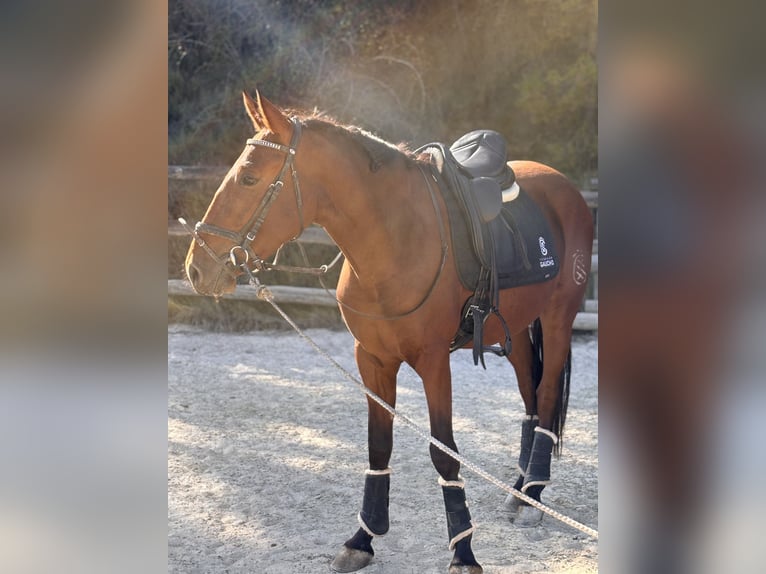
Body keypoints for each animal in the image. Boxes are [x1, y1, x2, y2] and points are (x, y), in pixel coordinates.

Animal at [183, 91, 593, 573]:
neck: (394, 239)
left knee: (545, 398)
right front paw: (364, 537)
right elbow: (378, 445)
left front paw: (464, 551)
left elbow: (443, 453)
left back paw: (532, 496)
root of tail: (565, 187)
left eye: (248, 178)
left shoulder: (433, 362)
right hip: (512, 328)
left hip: (558, 317)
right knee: (530, 395)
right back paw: (519, 489)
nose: (197, 267)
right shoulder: (372, 358)